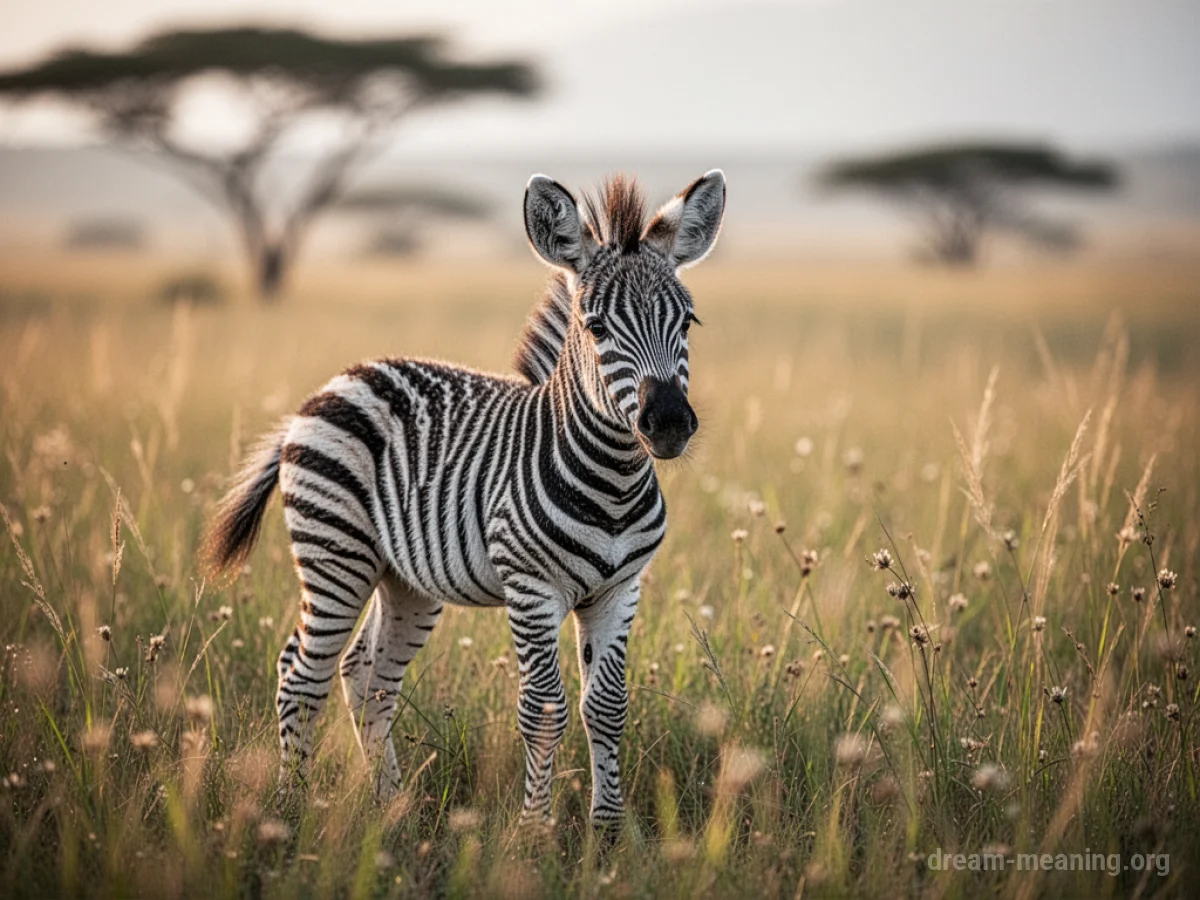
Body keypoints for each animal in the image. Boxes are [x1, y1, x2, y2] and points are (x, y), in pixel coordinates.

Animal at [202, 170, 726, 827]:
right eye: (596, 327)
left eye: (689, 322)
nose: (670, 423)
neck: (611, 483)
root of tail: (332, 384)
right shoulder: (531, 587)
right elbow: (544, 710)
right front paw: (534, 831)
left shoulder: (620, 589)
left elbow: (606, 707)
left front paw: (607, 831)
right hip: (335, 554)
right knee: (301, 673)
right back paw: (287, 811)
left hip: (404, 578)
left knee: (366, 675)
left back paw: (391, 806)